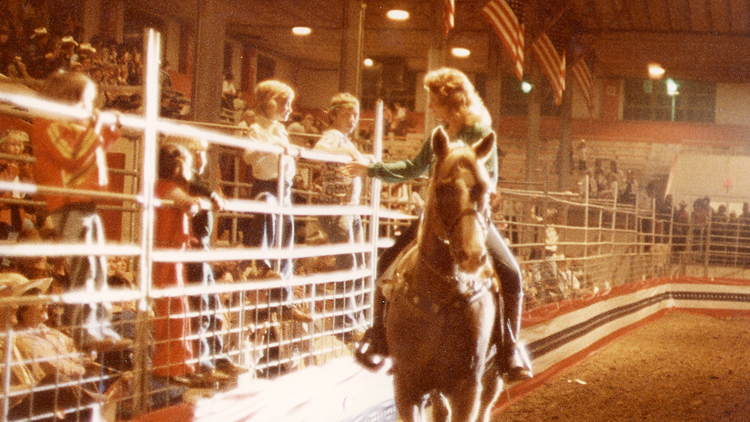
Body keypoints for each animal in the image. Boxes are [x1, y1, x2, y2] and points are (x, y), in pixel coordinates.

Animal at [382, 128, 506, 422]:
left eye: (486, 192)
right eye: (443, 188)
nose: (472, 255)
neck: (440, 298)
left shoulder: (467, 389)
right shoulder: (407, 388)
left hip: (493, 376)